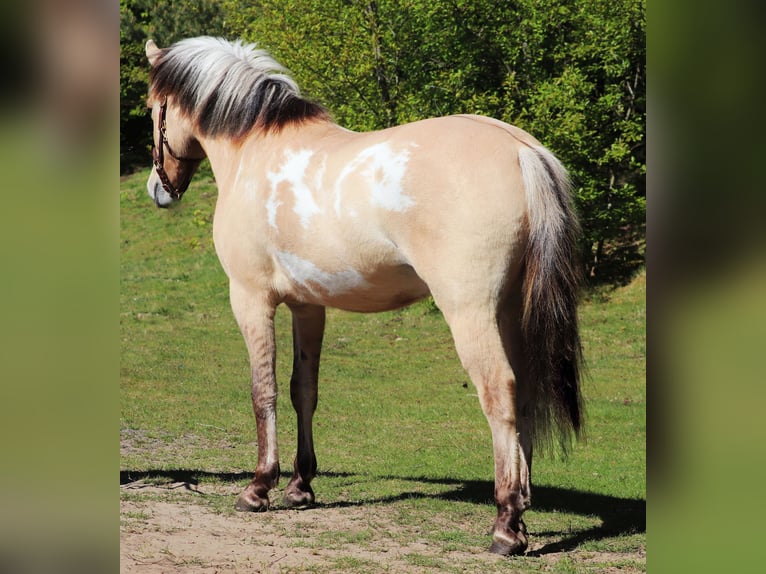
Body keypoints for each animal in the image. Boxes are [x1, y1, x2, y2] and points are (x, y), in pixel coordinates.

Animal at [144, 36, 583, 556]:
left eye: (151, 107)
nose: (158, 189)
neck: (257, 150)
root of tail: (521, 150)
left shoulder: (251, 298)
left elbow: (262, 390)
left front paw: (258, 488)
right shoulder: (307, 305)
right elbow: (303, 390)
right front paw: (300, 486)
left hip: (472, 313)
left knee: (500, 393)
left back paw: (506, 522)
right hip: (513, 312)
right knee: (527, 392)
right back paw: (523, 502)